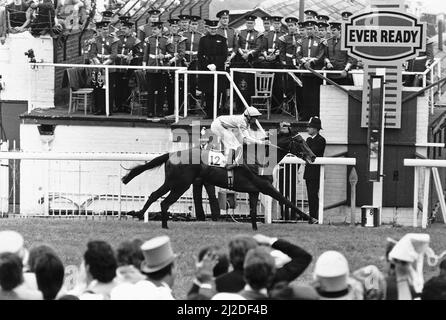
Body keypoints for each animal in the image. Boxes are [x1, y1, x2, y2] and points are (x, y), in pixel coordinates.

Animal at [122, 129, 318, 231]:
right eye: (300, 142)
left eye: (306, 141)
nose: (313, 156)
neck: (260, 158)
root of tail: (172, 154)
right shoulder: (266, 187)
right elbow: (287, 201)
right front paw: (312, 219)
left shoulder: (254, 190)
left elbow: (254, 212)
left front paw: (255, 231)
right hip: (179, 184)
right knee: (163, 201)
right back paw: (157, 223)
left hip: (173, 183)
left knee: (155, 196)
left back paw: (143, 216)